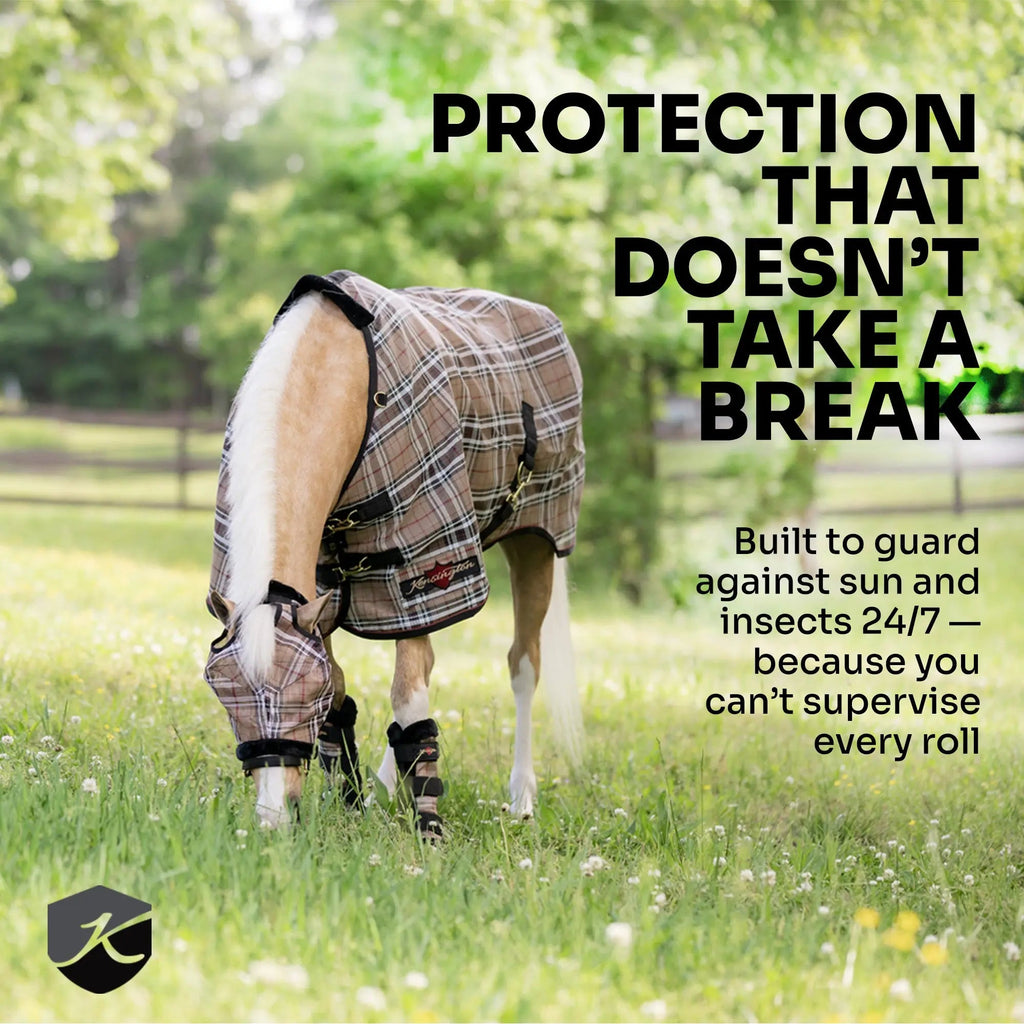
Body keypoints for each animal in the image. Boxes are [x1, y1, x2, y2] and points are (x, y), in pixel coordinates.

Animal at [203, 271, 585, 834]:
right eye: (224, 694)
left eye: (304, 696)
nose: (273, 818)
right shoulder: (321, 587)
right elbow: (350, 693)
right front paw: (349, 802)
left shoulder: (417, 562)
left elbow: (408, 697)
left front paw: (428, 824)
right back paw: (385, 786)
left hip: (533, 542)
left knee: (522, 665)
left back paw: (520, 798)